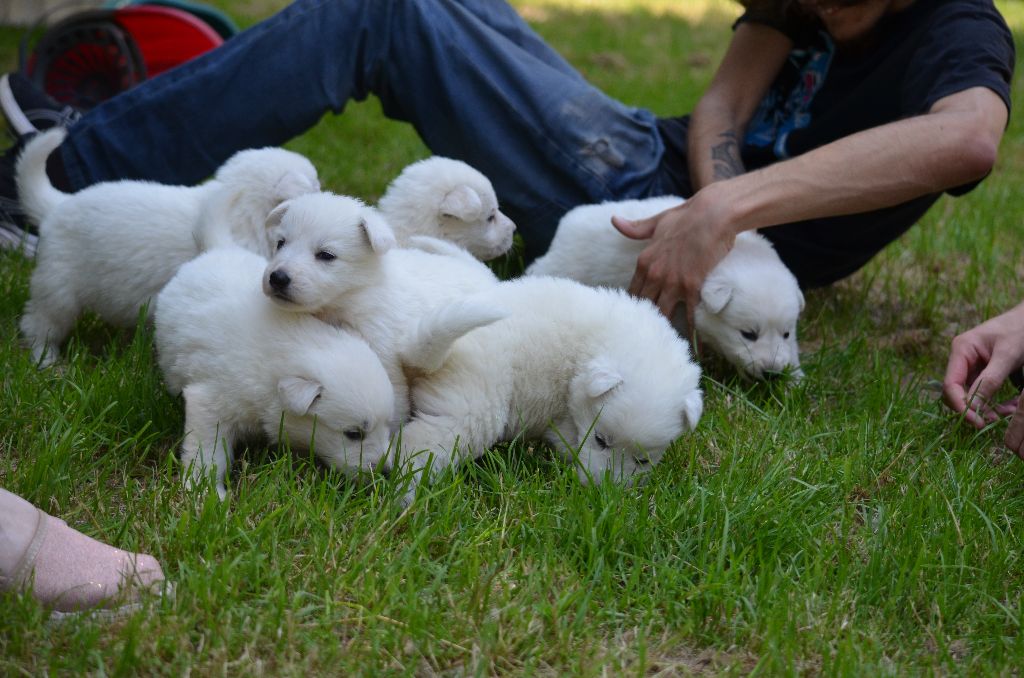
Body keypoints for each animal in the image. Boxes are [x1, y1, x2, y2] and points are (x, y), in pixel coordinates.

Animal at [14, 127, 319, 366]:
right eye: (315, 183)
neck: (245, 212)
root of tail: (57, 206)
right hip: (58, 287)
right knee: (39, 324)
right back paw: (47, 361)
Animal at [154, 246, 395, 501]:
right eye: (353, 434)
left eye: (387, 426)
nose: (386, 472)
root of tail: (218, 249)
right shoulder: (210, 403)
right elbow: (208, 449)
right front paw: (206, 491)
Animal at [528, 195, 806, 383]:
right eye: (748, 334)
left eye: (786, 333)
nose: (771, 373)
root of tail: (567, 223)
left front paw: (795, 379)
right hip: (566, 263)